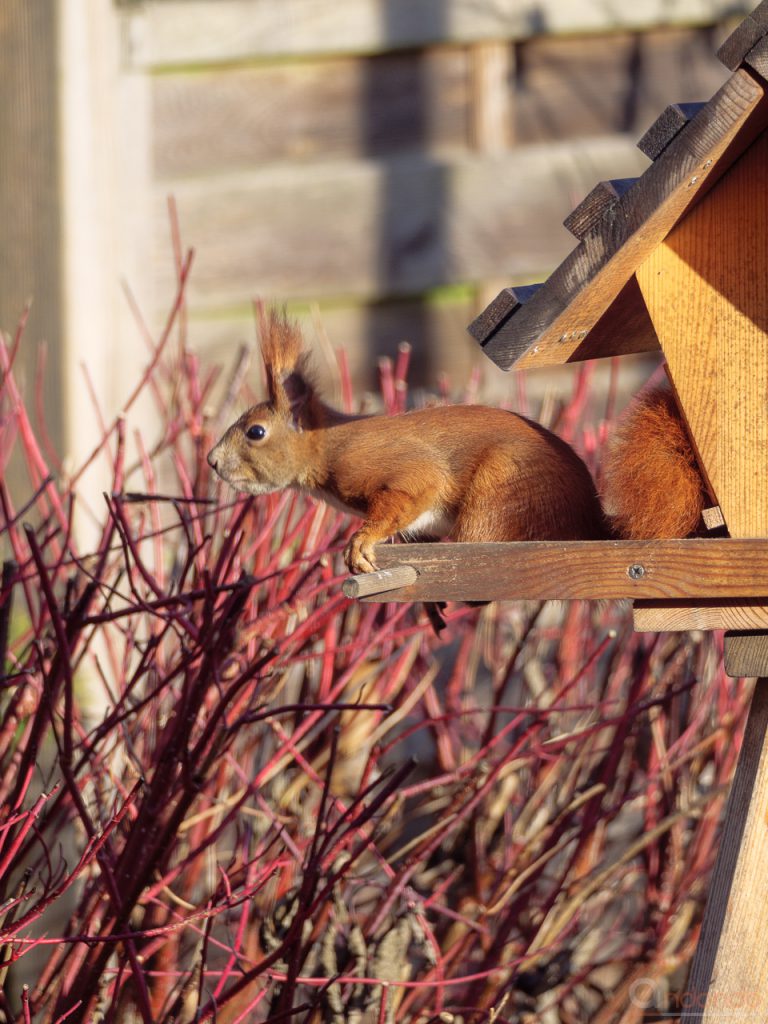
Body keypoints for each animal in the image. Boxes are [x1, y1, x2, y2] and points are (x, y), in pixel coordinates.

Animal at [207, 309, 712, 577]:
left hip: (498, 493)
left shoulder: (387, 467)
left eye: (255, 432)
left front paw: (362, 542)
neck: (326, 446)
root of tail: (587, 525)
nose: (211, 461)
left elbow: (412, 488)